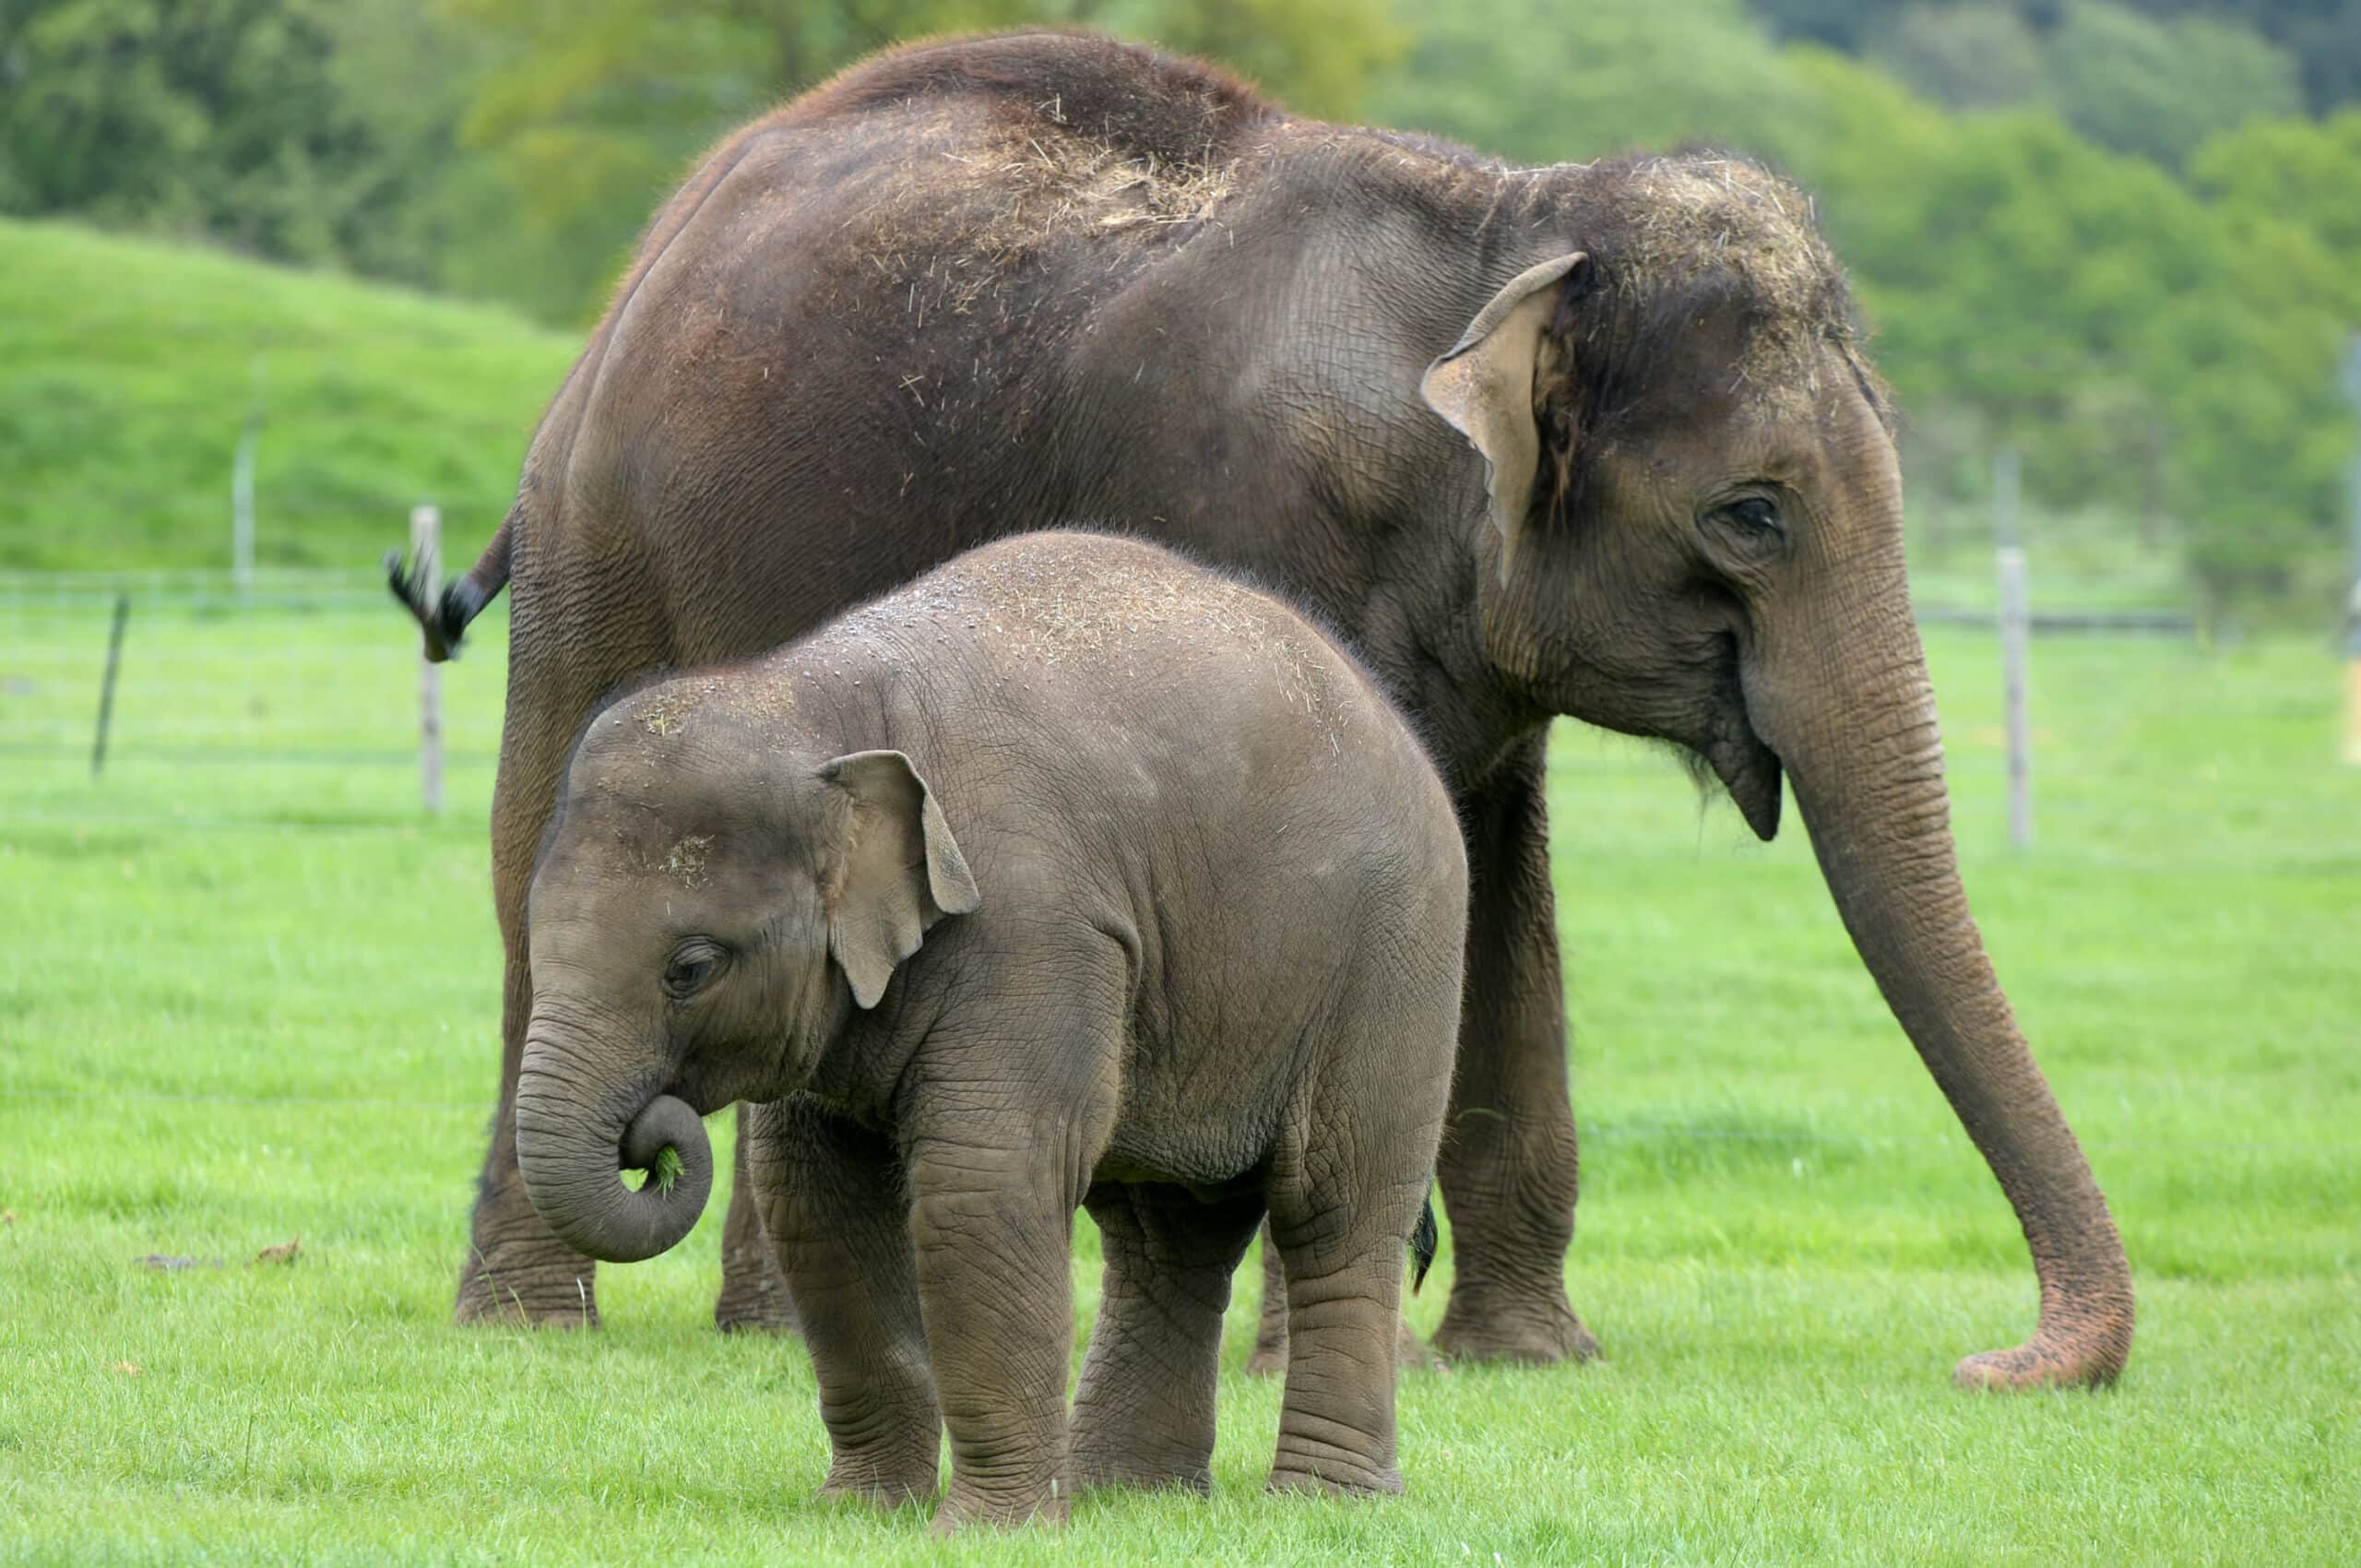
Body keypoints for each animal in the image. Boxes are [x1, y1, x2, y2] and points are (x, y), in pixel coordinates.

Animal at [393, 29, 2132, 1387]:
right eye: (1753, 515)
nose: (1992, 1362)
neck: (1511, 225)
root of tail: (656, 247)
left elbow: (1497, 889)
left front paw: (1528, 1359)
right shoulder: (1257, 528)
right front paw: (1342, 1337)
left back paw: (762, 1333)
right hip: (601, 549)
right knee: (535, 872)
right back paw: (530, 1326)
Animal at [515, 531, 1467, 1527]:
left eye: (691, 967)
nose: (652, 1138)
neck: (819, 697)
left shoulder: (1035, 927)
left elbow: (984, 1181)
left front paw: (987, 1526)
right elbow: (812, 1196)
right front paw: (860, 1511)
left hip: (1395, 959)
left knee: (1337, 1208)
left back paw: (1322, 1506)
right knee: (1167, 1232)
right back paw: (1130, 1493)